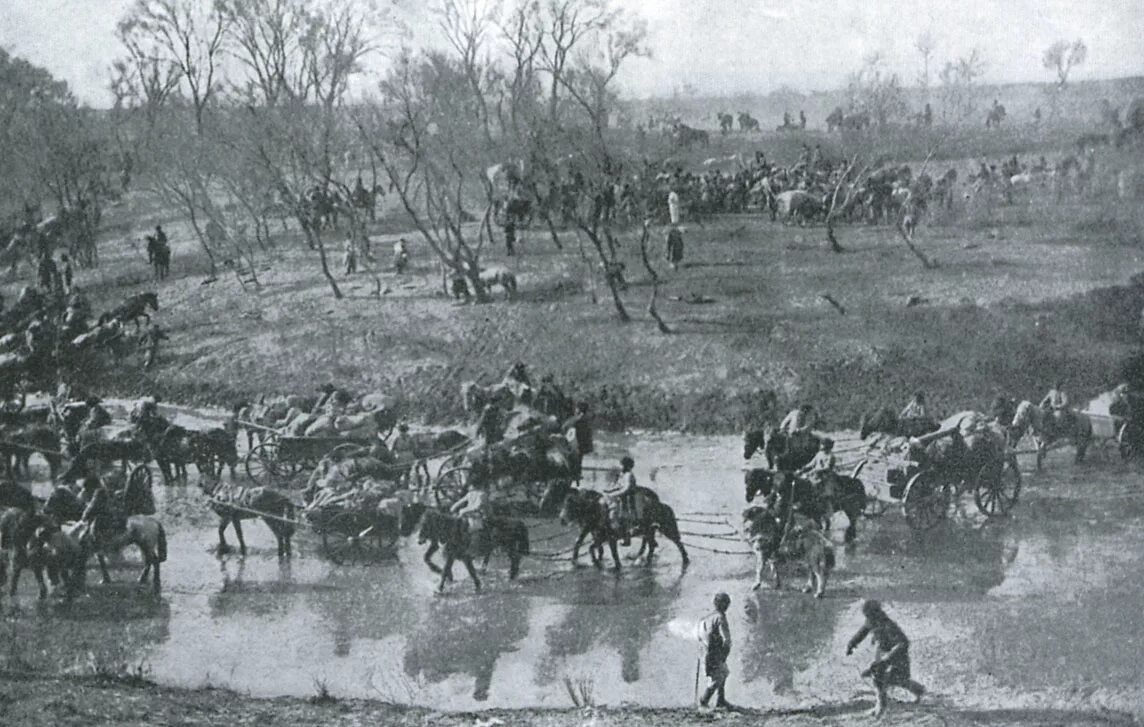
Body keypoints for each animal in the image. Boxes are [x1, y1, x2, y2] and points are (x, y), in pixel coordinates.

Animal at [400, 503, 528, 595]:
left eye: (426, 525)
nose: (419, 540)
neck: (452, 530)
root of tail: (517, 521)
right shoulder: (460, 557)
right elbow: (468, 571)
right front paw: (477, 585)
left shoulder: (456, 556)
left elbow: (446, 571)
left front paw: (439, 589)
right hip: (507, 547)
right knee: (515, 558)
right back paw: (511, 574)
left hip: (507, 547)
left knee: (515, 558)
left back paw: (511, 575)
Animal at [555, 485, 686, 572]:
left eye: (571, 503)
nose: (561, 520)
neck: (598, 509)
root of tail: (663, 505)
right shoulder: (598, 535)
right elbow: (589, 546)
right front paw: (595, 561)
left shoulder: (609, 537)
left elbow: (611, 552)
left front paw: (615, 566)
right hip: (649, 531)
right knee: (652, 545)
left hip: (666, 529)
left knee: (677, 542)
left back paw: (685, 560)